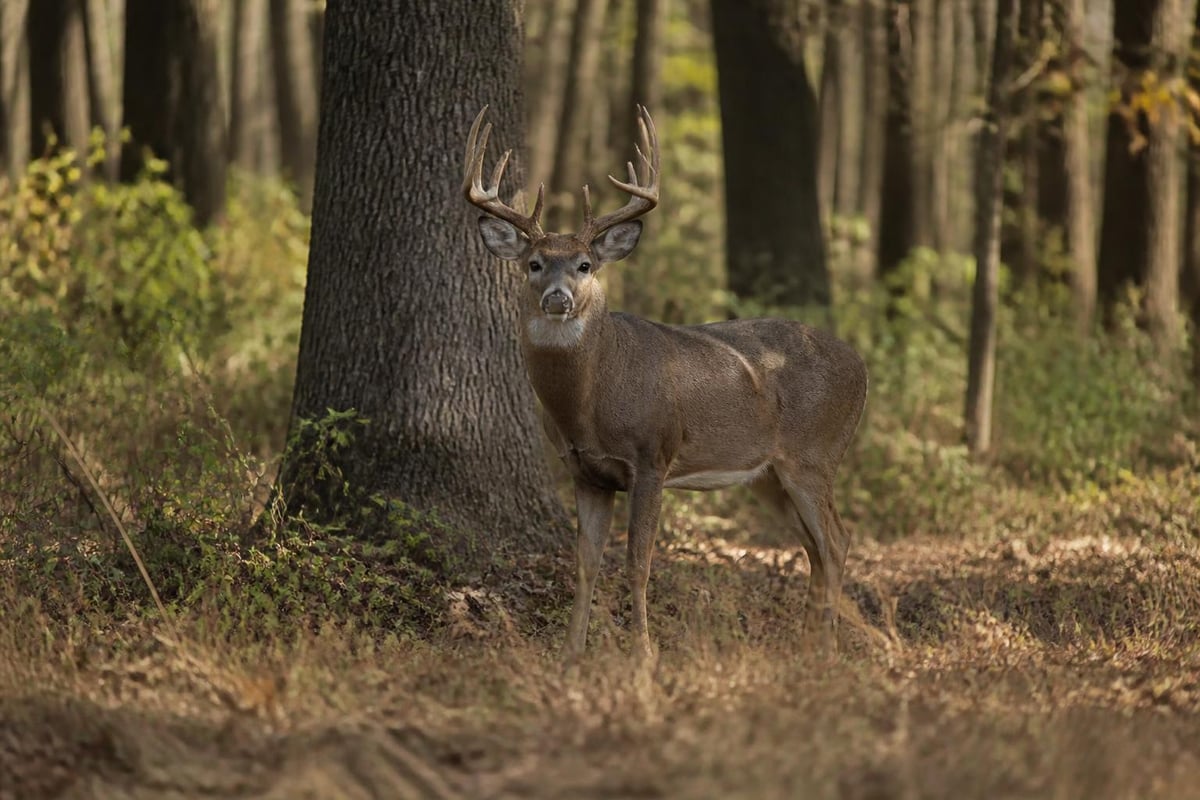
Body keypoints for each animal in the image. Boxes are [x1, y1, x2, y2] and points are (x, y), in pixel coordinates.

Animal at [463, 105, 868, 662]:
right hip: (769, 475)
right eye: (534, 264)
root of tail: (862, 367)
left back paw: (824, 651)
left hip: (814, 455)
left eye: (586, 265)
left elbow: (638, 562)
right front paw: (571, 655)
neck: (591, 400)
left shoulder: (653, 455)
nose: (558, 298)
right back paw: (805, 646)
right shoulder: (585, 471)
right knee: (816, 548)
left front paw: (643, 655)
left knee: (837, 540)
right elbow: (586, 562)